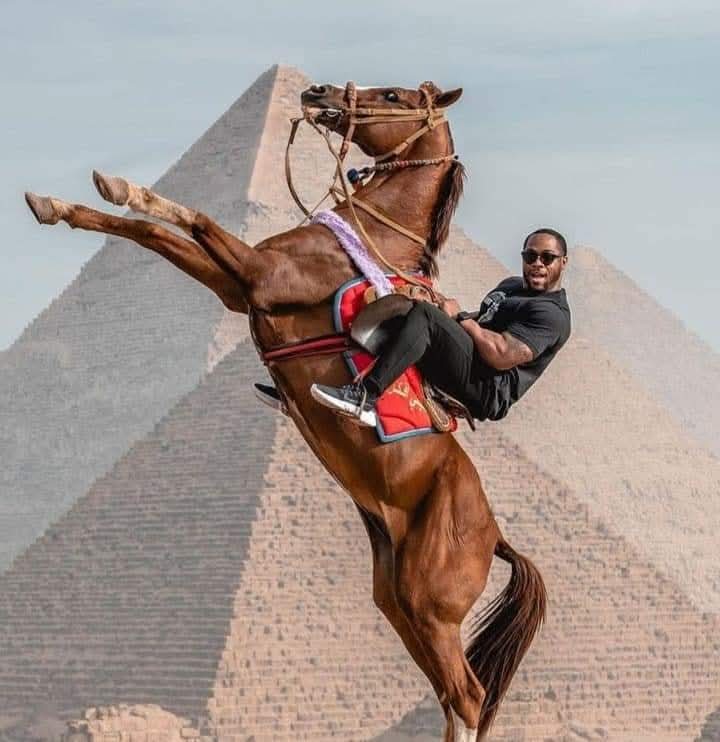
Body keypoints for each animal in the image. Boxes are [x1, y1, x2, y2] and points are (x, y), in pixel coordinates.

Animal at [25, 80, 546, 742]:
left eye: (394, 94)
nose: (318, 92)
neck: (370, 236)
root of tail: (497, 535)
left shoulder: (259, 274)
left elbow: (194, 219)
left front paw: (117, 187)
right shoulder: (235, 288)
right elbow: (152, 234)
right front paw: (60, 202)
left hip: (431, 599)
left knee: (471, 695)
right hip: (397, 599)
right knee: (452, 695)